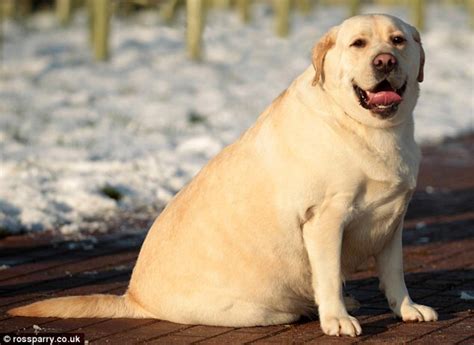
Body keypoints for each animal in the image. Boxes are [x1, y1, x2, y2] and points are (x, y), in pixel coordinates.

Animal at [9, 14, 436, 336]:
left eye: (398, 40)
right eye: (358, 44)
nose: (385, 61)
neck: (369, 129)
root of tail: (134, 298)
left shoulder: (392, 221)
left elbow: (394, 273)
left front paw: (407, 309)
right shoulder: (324, 220)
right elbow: (329, 275)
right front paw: (337, 320)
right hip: (257, 307)